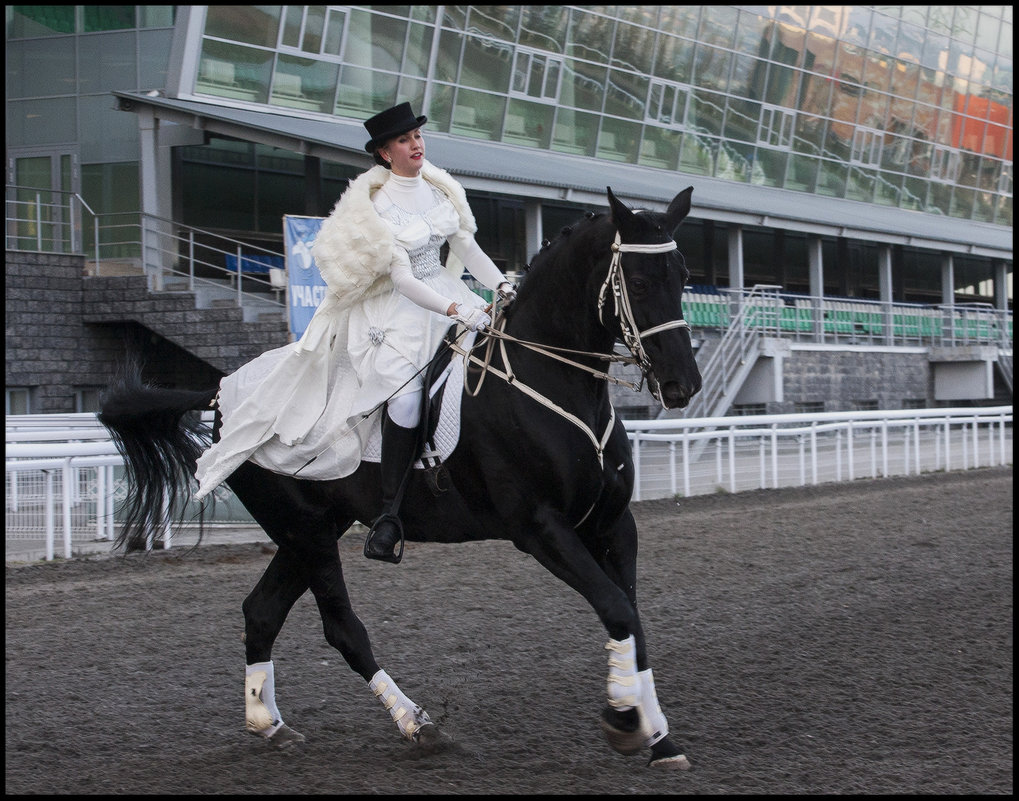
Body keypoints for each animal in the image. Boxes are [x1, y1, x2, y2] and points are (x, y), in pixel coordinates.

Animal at [97, 185, 701, 766]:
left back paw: (269, 724)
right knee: (342, 629)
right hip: (306, 531)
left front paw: (659, 738)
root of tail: (221, 392)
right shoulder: (540, 529)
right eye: (639, 282)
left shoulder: (613, 523)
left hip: (311, 529)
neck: (551, 379)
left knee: (261, 611)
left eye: (684, 277)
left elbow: (633, 619)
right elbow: (616, 608)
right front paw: (625, 723)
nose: (683, 385)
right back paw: (418, 725)